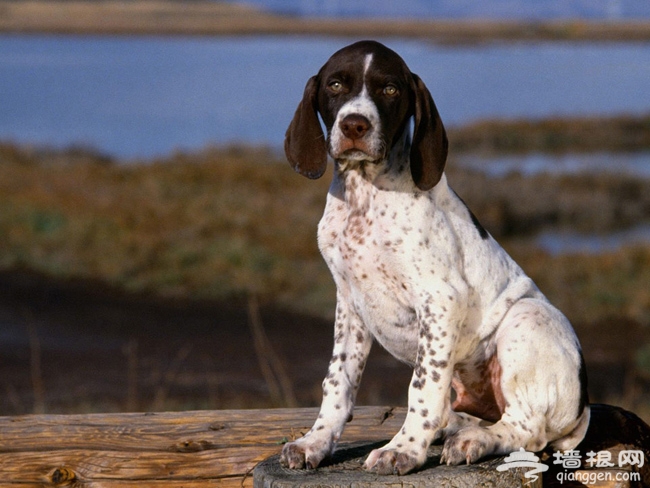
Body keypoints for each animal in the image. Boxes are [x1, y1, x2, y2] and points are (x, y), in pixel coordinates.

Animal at [278, 40, 588, 474]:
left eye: (390, 89)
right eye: (336, 84)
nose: (355, 125)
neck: (364, 195)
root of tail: (583, 410)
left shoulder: (440, 299)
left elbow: (422, 385)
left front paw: (404, 449)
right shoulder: (350, 303)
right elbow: (337, 382)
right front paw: (315, 441)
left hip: (527, 318)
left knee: (526, 429)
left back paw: (473, 440)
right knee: (469, 414)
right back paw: (456, 429)